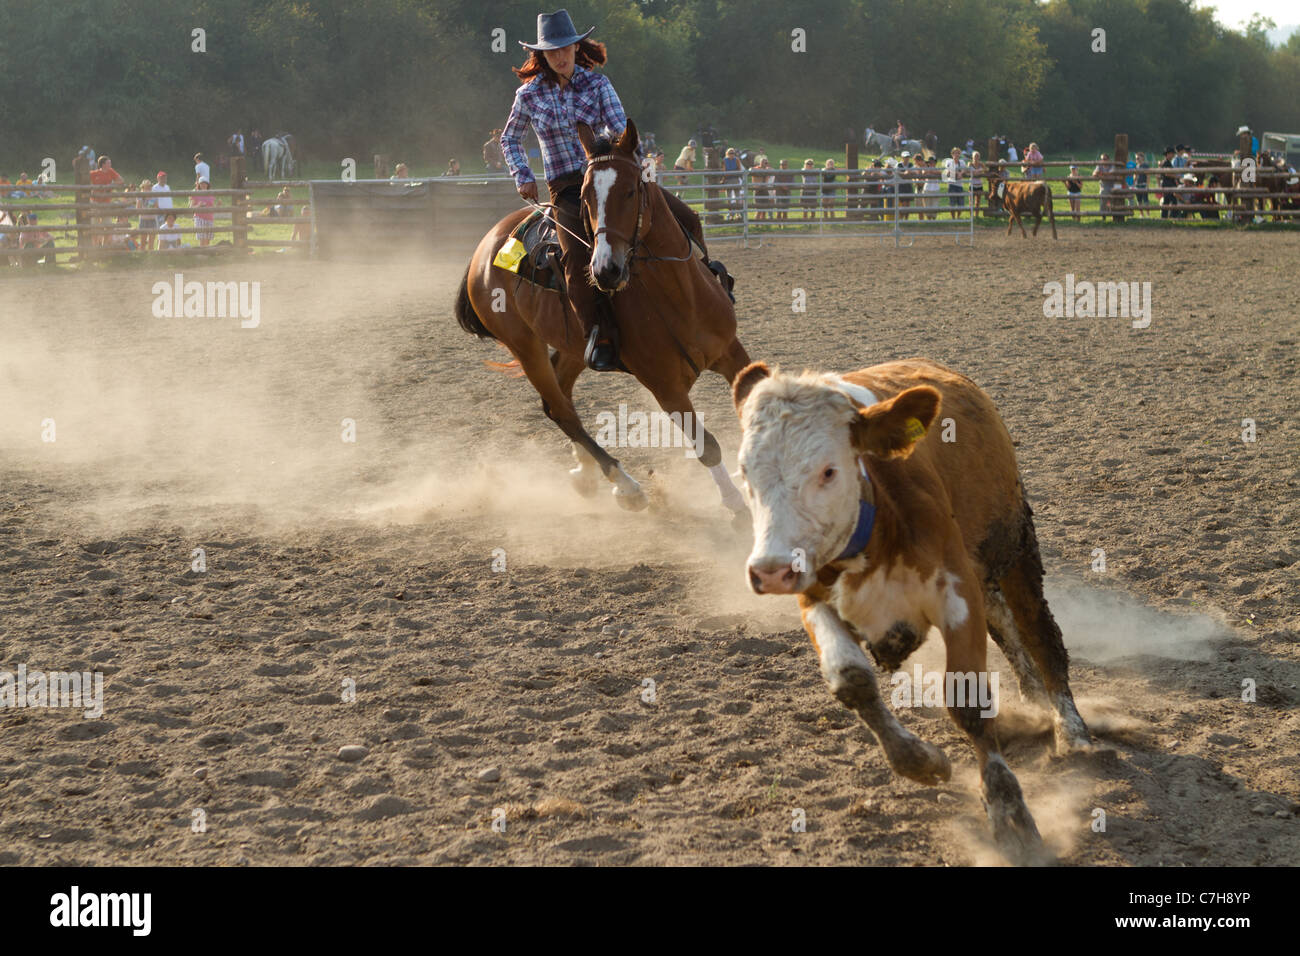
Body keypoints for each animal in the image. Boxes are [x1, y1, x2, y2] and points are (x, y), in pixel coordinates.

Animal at [454, 119, 751, 523]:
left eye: (630, 190)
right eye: (585, 198)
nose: (605, 269)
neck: (681, 297)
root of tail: (484, 248)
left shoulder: (732, 353)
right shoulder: (666, 389)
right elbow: (706, 446)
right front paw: (737, 505)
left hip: (575, 347)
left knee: (561, 396)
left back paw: (585, 473)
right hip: (524, 346)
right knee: (561, 410)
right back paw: (626, 485)